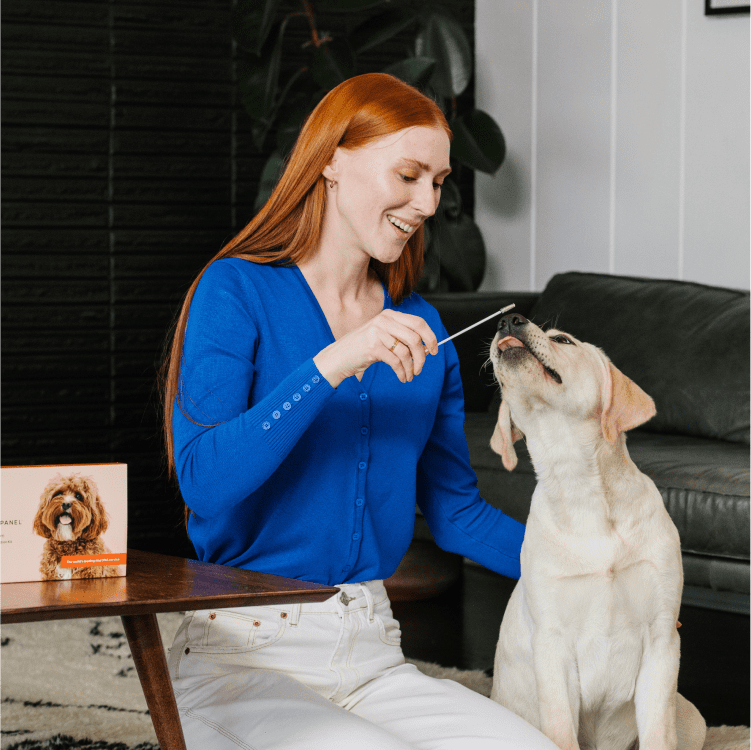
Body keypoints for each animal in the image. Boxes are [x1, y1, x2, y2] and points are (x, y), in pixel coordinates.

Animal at [488, 313, 706, 750]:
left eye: (563, 340)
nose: (508, 319)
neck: (581, 488)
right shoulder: (552, 645)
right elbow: (560, 730)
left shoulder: (662, 640)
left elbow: (659, 734)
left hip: (693, 720)